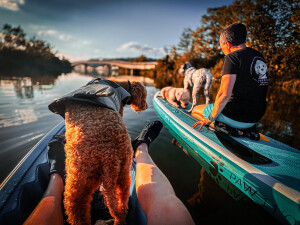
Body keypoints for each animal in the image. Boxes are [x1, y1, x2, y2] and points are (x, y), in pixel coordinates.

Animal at [63, 81, 148, 225]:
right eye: (145, 95)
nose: (146, 106)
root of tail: (109, 154)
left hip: (80, 179)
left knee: (76, 207)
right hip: (122, 173)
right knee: (122, 200)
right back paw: (121, 217)